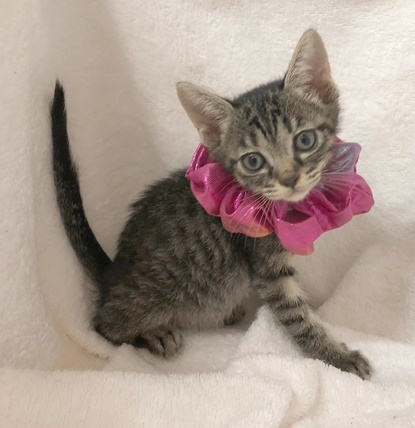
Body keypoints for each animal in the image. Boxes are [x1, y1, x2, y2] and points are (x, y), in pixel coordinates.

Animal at [51, 29, 371, 379]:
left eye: (305, 140)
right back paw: (155, 333)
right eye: (254, 161)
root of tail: (113, 272)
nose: (289, 178)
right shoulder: (268, 269)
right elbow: (297, 318)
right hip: (151, 297)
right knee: (104, 326)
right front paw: (337, 357)